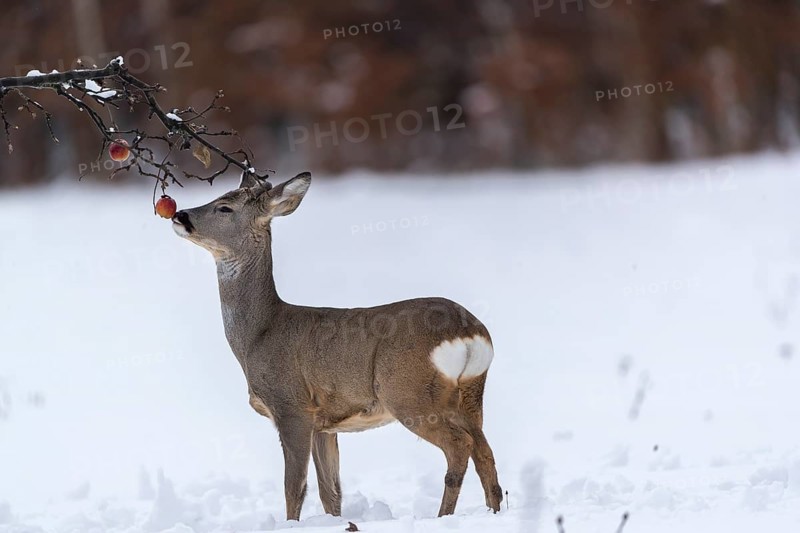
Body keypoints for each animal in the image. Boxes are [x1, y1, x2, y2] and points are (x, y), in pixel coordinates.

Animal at [171, 171, 502, 521]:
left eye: (224, 207)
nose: (179, 215)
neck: (260, 333)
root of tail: (469, 331)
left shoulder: (292, 407)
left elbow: (294, 486)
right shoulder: (325, 423)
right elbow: (330, 491)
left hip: (407, 392)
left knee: (459, 446)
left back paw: (443, 517)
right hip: (469, 395)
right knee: (484, 451)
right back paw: (494, 511)